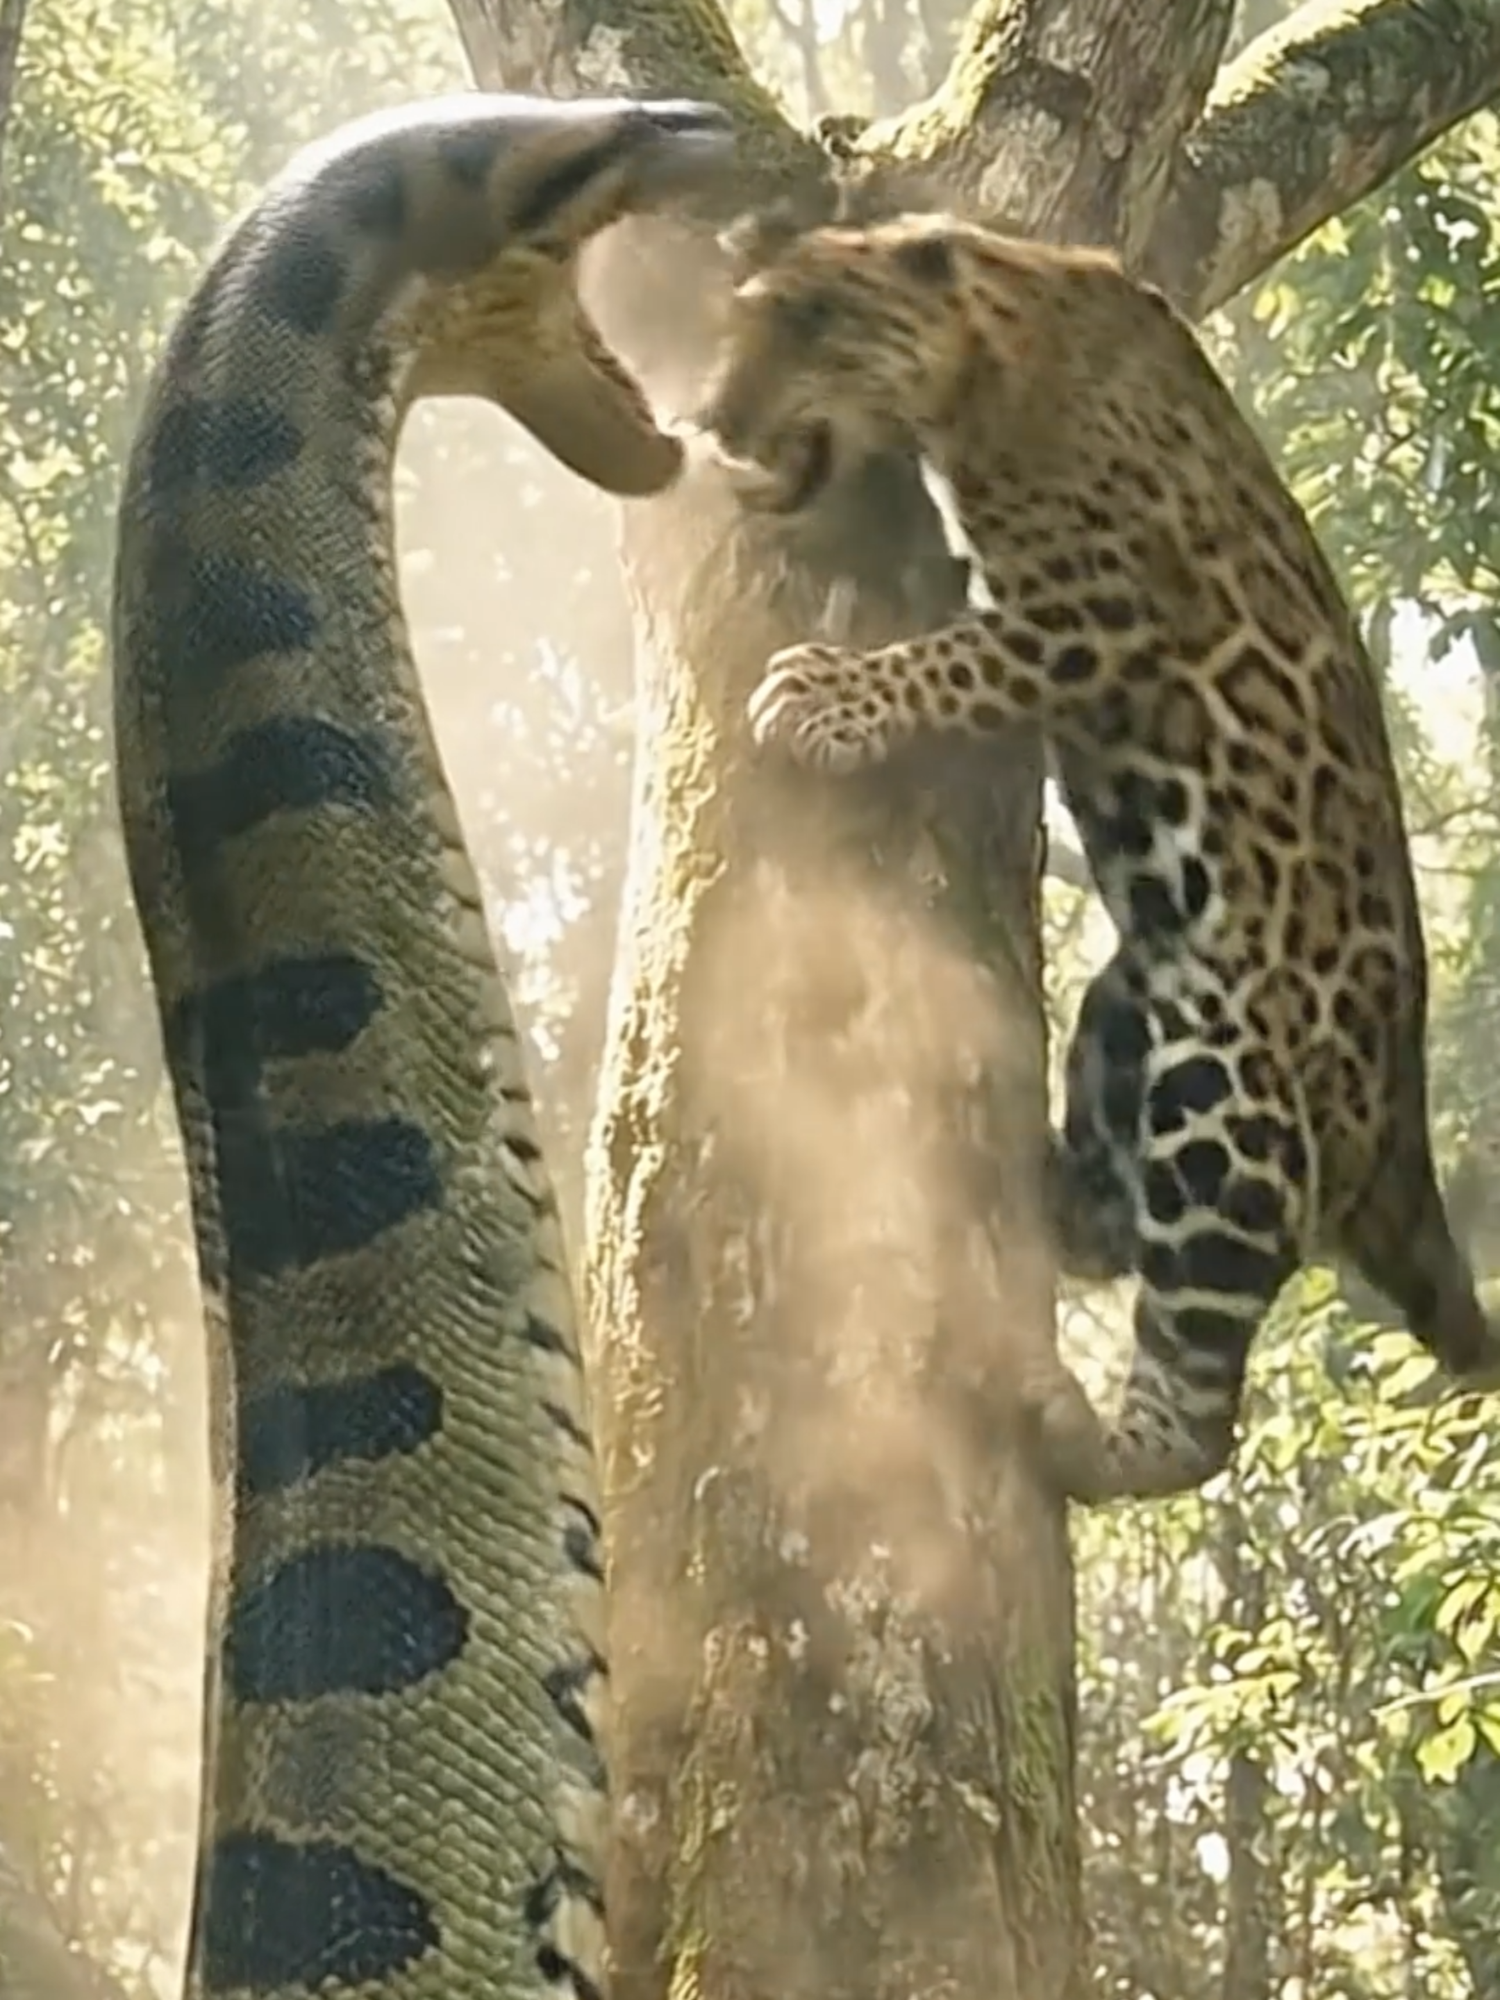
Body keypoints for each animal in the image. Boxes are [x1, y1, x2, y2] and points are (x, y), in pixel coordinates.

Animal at [693, 207, 1500, 1505]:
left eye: (808, 322)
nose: (709, 422)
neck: (989, 355)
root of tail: (1399, 1144)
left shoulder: (1090, 620)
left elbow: (952, 660)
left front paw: (825, 698)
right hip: (1139, 992)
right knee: (1118, 1225)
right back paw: (1046, 1180)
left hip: (1232, 1096)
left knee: (1203, 1385)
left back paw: (1072, 1422)